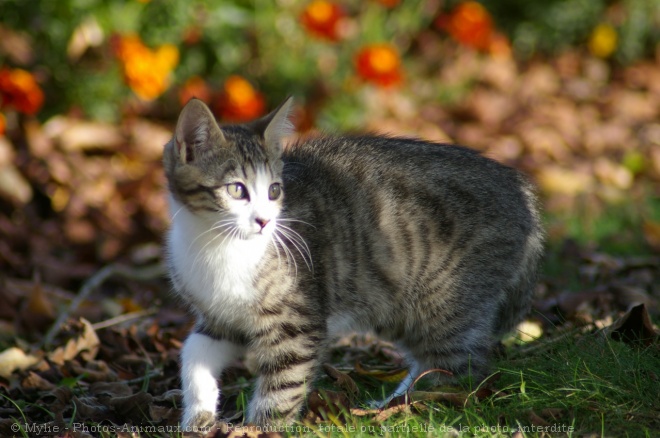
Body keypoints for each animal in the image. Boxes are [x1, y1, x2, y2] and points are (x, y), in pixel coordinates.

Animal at [162, 97, 544, 430]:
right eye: (237, 190)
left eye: (273, 191)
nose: (265, 222)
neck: (217, 245)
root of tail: (521, 190)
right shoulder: (219, 316)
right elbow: (194, 353)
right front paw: (197, 415)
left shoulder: (297, 323)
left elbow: (283, 386)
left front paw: (261, 428)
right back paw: (391, 403)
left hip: (445, 300)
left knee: (456, 369)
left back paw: (409, 407)